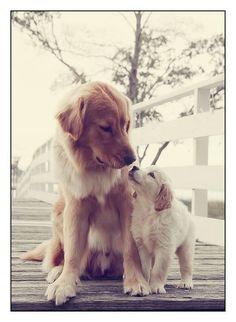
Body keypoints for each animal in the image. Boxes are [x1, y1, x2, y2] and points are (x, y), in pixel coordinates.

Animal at [22, 81, 151, 304]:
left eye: (126, 125)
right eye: (106, 127)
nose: (132, 159)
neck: (95, 169)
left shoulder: (127, 204)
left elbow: (130, 248)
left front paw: (136, 281)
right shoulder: (76, 208)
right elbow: (73, 252)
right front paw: (64, 283)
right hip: (59, 212)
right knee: (62, 258)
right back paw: (59, 271)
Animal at [128, 166, 195, 294]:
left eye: (152, 175)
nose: (134, 167)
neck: (149, 212)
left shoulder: (164, 247)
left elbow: (159, 269)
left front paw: (156, 287)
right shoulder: (142, 246)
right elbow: (144, 268)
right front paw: (145, 283)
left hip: (186, 246)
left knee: (186, 266)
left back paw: (186, 283)